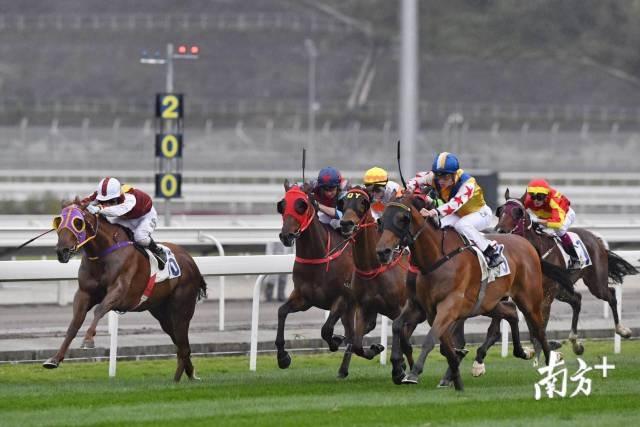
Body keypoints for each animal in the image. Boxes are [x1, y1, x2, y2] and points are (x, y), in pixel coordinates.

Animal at [43, 200, 208, 382]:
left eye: (78, 222)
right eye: (58, 221)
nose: (62, 251)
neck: (104, 253)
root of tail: (191, 261)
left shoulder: (120, 290)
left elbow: (99, 310)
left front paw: (88, 340)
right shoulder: (84, 293)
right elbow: (74, 324)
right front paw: (54, 359)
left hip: (181, 308)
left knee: (183, 345)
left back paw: (177, 380)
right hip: (162, 312)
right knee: (181, 344)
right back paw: (189, 375)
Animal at [276, 182, 356, 376]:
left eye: (301, 205)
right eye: (281, 205)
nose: (286, 236)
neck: (319, 255)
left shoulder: (342, 298)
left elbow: (326, 330)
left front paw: (335, 340)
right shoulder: (304, 298)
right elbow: (282, 311)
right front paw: (283, 357)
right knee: (354, 336)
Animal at [340, 187, 424, 378]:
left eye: (363, 203)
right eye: (342, 202)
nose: (346, 224)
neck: (374, 268)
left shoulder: (402, 309)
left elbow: (405, 341)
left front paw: (401, 369)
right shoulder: (364, 307)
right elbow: (357, 343)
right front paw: (376, 348)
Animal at [376, 194, 552, 392]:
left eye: (402, 219)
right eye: (381, 220)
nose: (382, 251)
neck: (435, 259)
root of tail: (526, 243)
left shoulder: (449, 307)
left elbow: (431, 338)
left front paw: (414, 373)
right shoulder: (422, 307)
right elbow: (399, 326)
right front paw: (399, 368)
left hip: (529, 300)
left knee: (539, 329)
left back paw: (550, 366)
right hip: (487, 303)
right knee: (511, 311)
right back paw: (521, 351)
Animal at [496, 191, 636, 354]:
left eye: (517, 212)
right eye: (500, 211)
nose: (500, 231)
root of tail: (596, 239)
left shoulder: (547, 296)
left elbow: (540, 327)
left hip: (595, 283)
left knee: (611, 295)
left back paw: (622, 330)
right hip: (562, 289)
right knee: (577, 300)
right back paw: (576, 343)